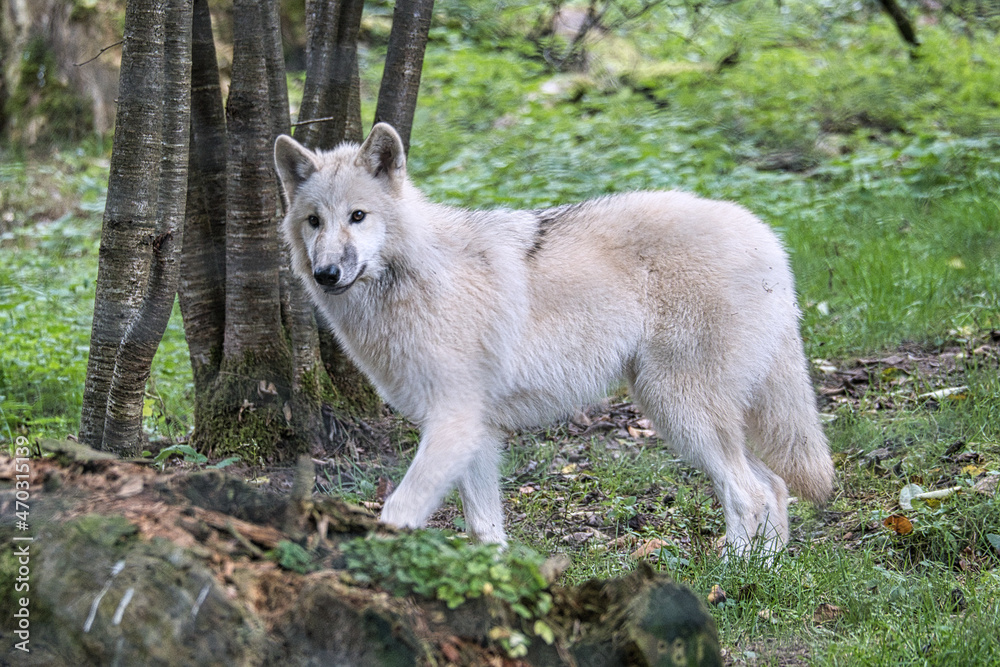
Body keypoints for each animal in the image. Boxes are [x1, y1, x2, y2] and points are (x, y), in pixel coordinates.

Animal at [274, 123, 834, 556]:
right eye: (314, 221)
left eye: (358, 216)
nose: (326, 273)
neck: (419, 278)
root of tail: (767, 237)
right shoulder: (477, 432)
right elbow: (484, 528)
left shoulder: (454, 421)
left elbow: (397, 511)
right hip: (682, 413)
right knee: (775, 486)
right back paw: (764, 572)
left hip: (679, 409)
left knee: (751, 493)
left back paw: (730, 580)